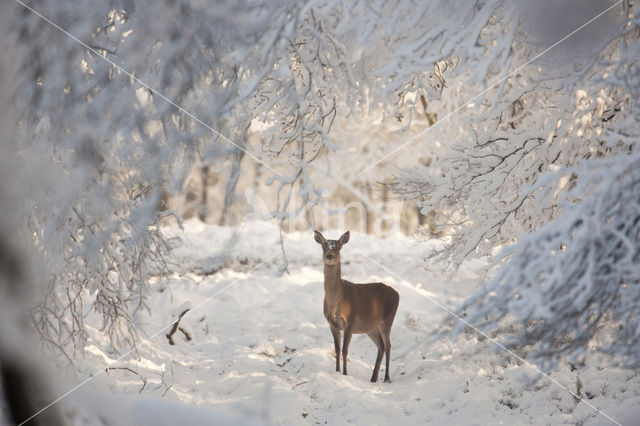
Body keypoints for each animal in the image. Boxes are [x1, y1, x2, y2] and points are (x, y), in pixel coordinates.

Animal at [316, 230, 400, 382]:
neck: (337, 302)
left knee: (388, 345)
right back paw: (373, 378)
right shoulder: (332, 324)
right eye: (324, 246)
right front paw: (337, 371)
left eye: (338, 246)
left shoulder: (350, 321)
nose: (329, 256)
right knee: (381, 346)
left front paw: (345, 374)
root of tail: (397, 293)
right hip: (371, 327)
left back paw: (386, 378)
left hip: (387, 320)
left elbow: (345, 350)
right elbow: (337, 349)